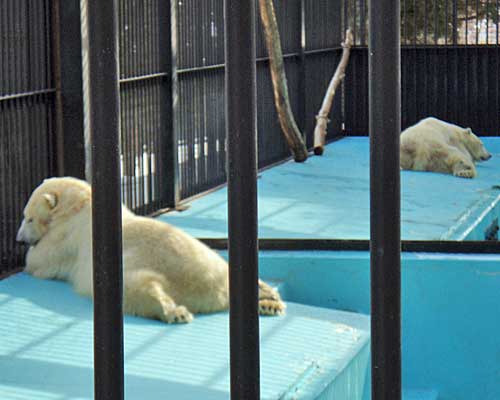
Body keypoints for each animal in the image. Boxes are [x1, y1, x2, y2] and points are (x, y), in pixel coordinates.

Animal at [16, 177, 286, 324]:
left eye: (28, 218)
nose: (19, 240)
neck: (81, 203)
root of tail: (211, 291)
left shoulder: (67, 237)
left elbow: (40, 260)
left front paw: (29, 255)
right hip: (214, 259)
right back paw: (270, 301)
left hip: (131, 268)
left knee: (139, 289)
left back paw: (176, 312)